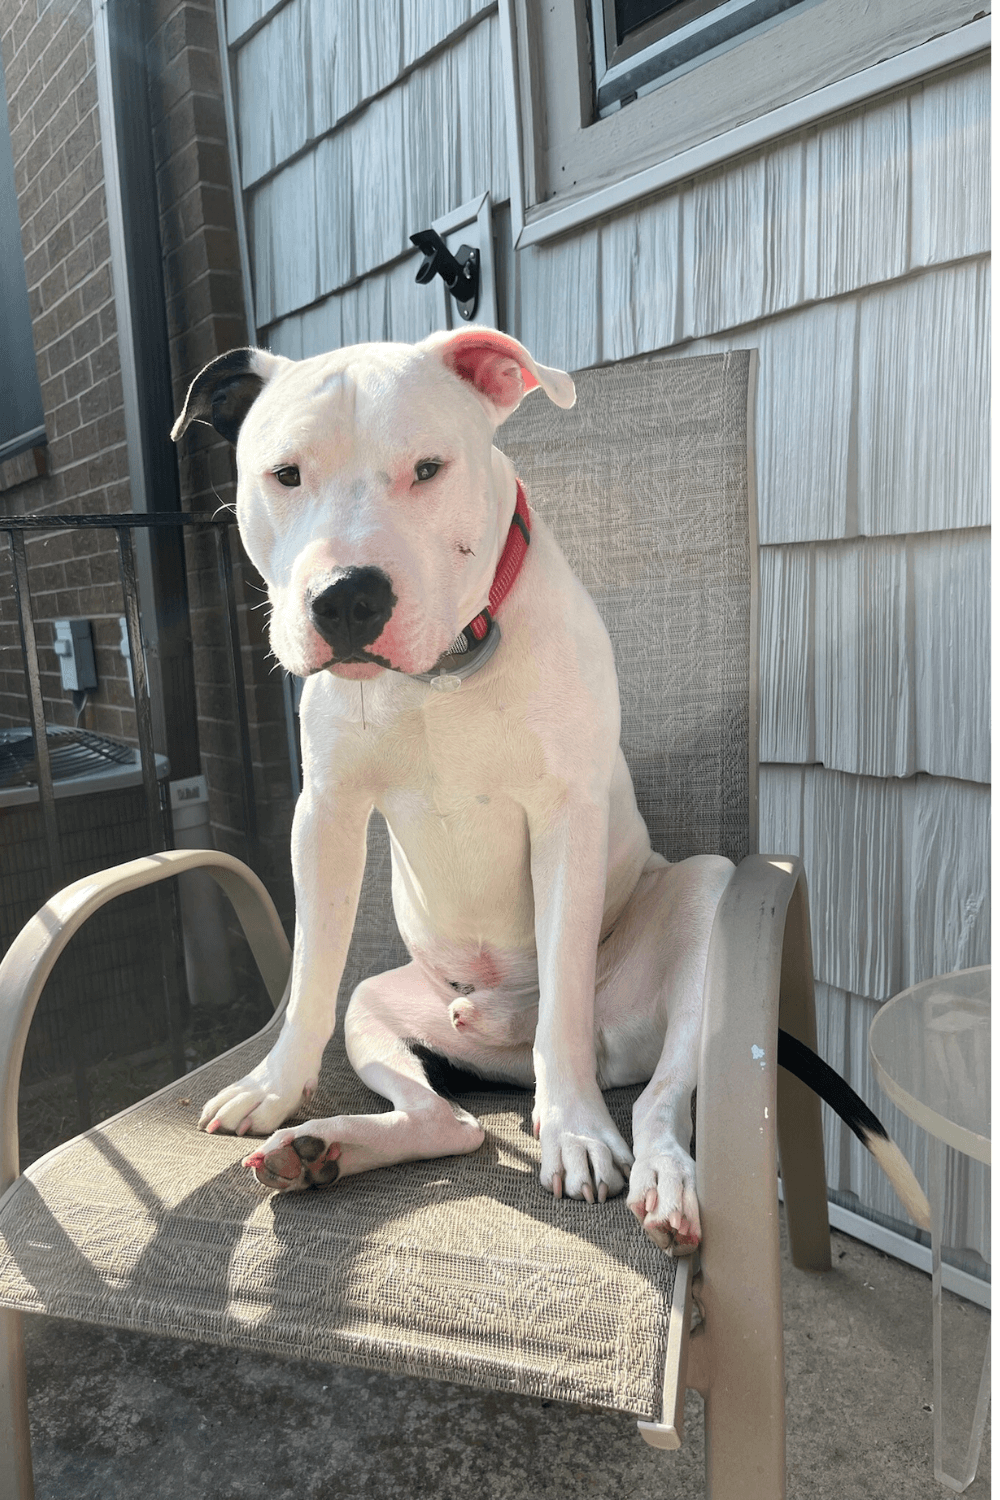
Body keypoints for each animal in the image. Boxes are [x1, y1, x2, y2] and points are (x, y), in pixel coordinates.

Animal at [172, 331, 929, 1254]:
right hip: (383, 1002)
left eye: (429, 467)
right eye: (284, 474)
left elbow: (564, 986)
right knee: (450, 1120)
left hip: (702, 913)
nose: (348, 595)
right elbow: (313, 971)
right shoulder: (326, 815)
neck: (444, 672)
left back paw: (662, 1181)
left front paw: (573, 1130)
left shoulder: (565, 817)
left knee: (660, 1098)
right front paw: (275, 1087)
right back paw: (323, 1149)